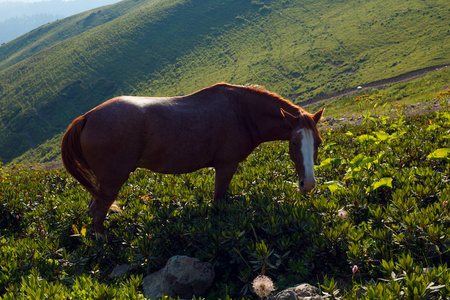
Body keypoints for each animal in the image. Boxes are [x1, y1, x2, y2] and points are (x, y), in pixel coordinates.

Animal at [61, 83, 326, 236]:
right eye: (294, 143)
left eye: (319, 142)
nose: (308, 183)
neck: (243, 112)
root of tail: (87, 116)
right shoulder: (226, 166)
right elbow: (218, 201)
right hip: (112, 180)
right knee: (98, 210)